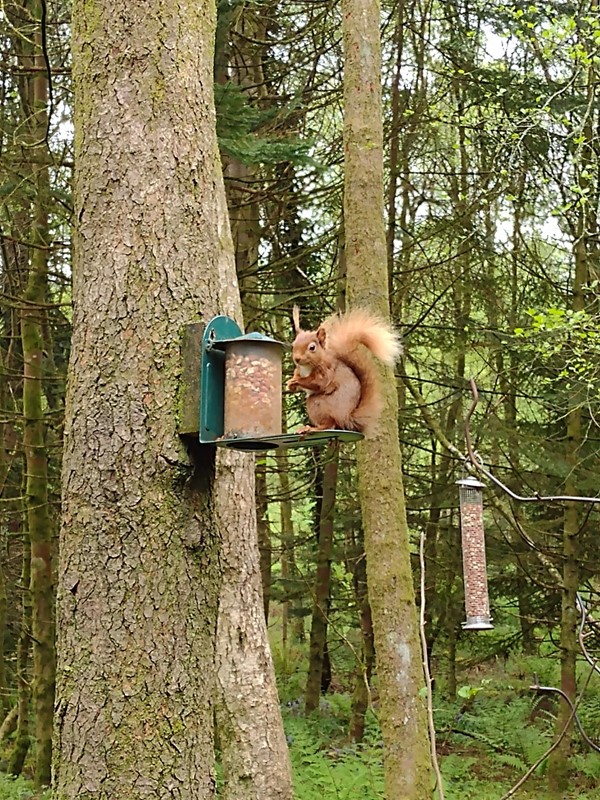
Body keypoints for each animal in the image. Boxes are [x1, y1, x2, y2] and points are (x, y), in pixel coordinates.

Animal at [288, 304, 400, 434]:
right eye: (293, 344)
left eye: (312, 347)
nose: (297, 359)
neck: (306, 367)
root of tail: (346, 418)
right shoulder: (300, 369)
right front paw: (291, 383)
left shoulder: (326, 370)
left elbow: (318, 383)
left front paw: (297, 381)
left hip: (318, 404)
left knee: (329, 424)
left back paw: (310, 428)